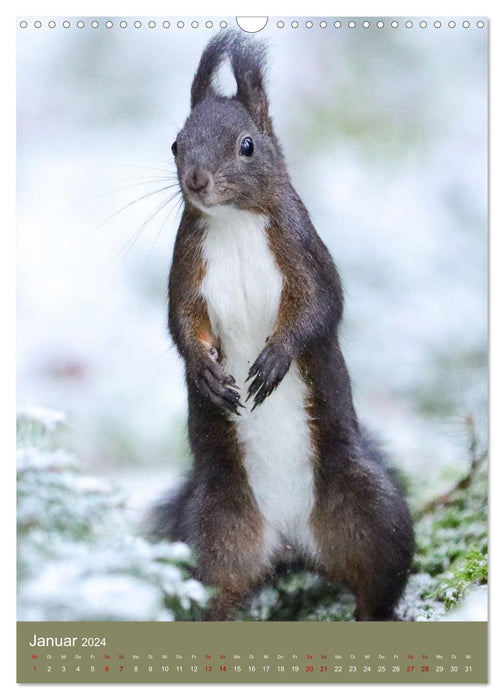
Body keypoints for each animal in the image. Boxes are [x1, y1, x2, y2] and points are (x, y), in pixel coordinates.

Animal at [149, 31, 414, 624]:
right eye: (175, 145)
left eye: (247, 145)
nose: (197, 180)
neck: (234, 222)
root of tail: (291, 542)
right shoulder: (186, 270)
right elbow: (182, 326)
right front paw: (205, 372)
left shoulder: (304, 252)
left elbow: (320, 308)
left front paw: (275, 358)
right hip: (212, 535)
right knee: (212, 593)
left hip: (373, 515)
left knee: (379, 580)